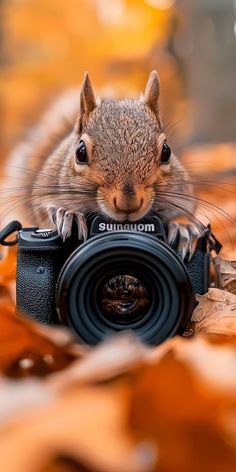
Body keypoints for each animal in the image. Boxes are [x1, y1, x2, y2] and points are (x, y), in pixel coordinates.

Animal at [3, 72, 199, 260]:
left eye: (166, 151)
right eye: (80, 152)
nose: (128, 203)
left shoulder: (180, 189)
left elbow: (187, 209)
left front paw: (182, 227)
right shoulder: (47, 185)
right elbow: (41, 208)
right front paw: (67, 214)